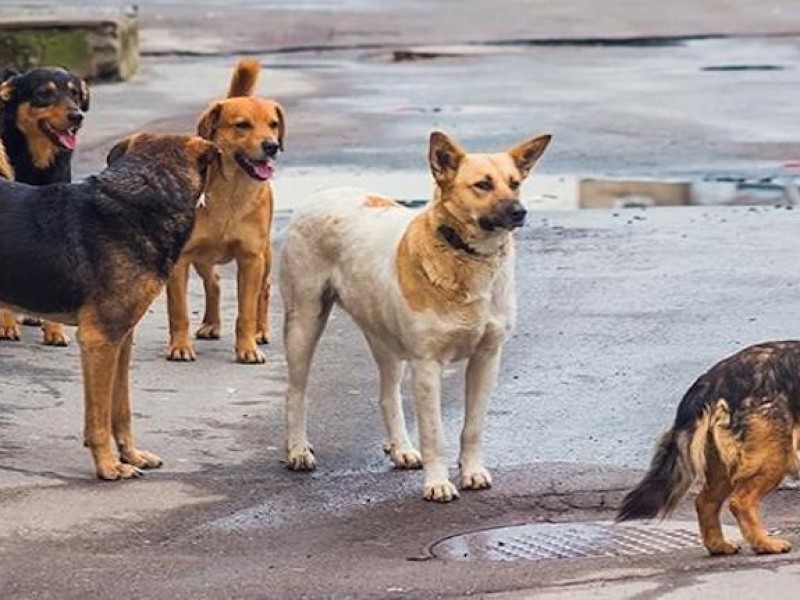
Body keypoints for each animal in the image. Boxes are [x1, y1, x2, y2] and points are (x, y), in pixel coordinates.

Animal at [0, 65, 90, 344]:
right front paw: (6, 325)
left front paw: (54, 330)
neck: (35, 162)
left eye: (75, 94)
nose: (77, 116)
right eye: (44, 94)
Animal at [0, 132, 219, 478]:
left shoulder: (122, 339)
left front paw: (131, 455)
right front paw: (108, 465)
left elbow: (121, 408)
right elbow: (99, 417)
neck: (146, 196)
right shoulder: (100, 340)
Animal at [166, 58, 284, 364]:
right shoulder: (181, 259)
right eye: (242, 125)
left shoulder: (251, 258)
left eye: (273, 124)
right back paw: (211, 324)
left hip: (265, 255)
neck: (231, 192)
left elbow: (246, 311)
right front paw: (179, 346)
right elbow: (179, 310)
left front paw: (247, 348)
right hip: (202, 257)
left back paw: (260, 330)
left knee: (264, 290)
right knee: (215, 282)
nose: (272, 146)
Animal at [280, 131, 552, 502]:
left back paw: (401, 449)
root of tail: (322, 193)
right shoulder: (427, 365)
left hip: (384, 338)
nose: (519, 212)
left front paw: (472, 471)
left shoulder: (487, 357)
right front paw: (437, 483)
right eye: (482, 185)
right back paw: (297, 450)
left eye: (515, 183)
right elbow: (434, 433)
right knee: (296, 392)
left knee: (387, 395)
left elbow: (473, 427)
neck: (465, 255)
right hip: (304, 323)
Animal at [620, 340, 800, 556]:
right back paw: (764, 544)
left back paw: (718, 545)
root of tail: (714, 378)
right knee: (740, 502)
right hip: (773, 457)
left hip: (725, 465)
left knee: (705, 502)